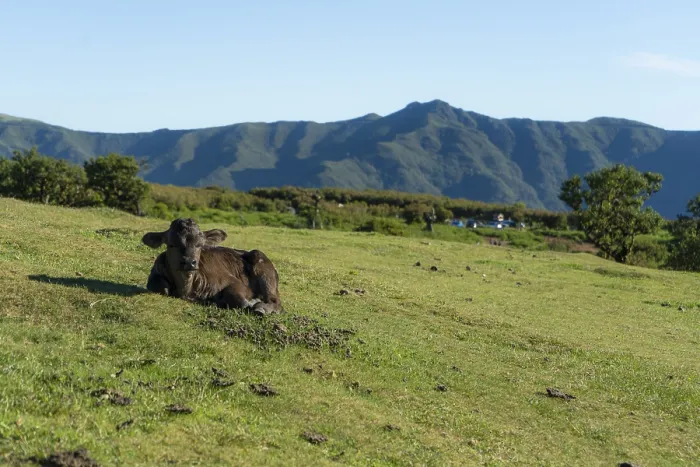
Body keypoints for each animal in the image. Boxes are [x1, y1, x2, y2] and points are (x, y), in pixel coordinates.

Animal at [141, 218, 283, 316]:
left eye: (200, 245)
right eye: (171, 244)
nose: (189, 262)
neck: (186, 290)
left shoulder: (236, 283)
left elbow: (240, 300)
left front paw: (253, 301)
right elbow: (161, 287)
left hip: (265, 271)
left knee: (276, 301)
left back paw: (261, 308)